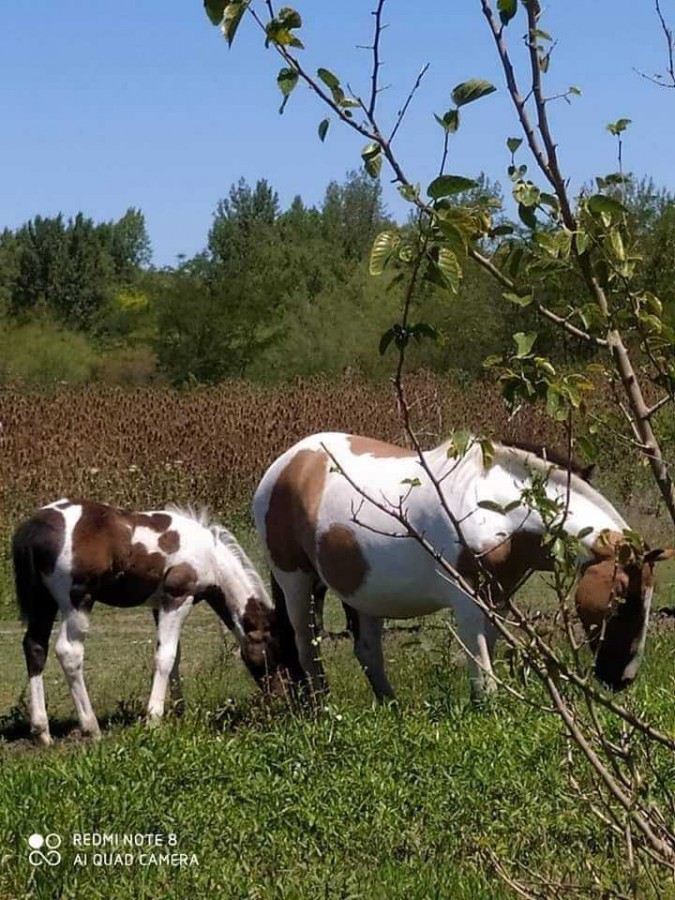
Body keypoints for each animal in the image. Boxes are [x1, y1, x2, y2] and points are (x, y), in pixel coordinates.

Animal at [11, 500, 298, 744]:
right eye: (275, 651)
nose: (282, 699)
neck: (210, 556)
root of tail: (33, 526)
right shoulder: (177, 599)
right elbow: (165, 657)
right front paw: (154, 719)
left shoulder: (159, 607)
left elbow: (175, 656)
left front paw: (180, 711)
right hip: (77, 601)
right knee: (69, 652)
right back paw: (91, 727)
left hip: (43, 602)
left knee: (35, 647)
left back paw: (42, 732)